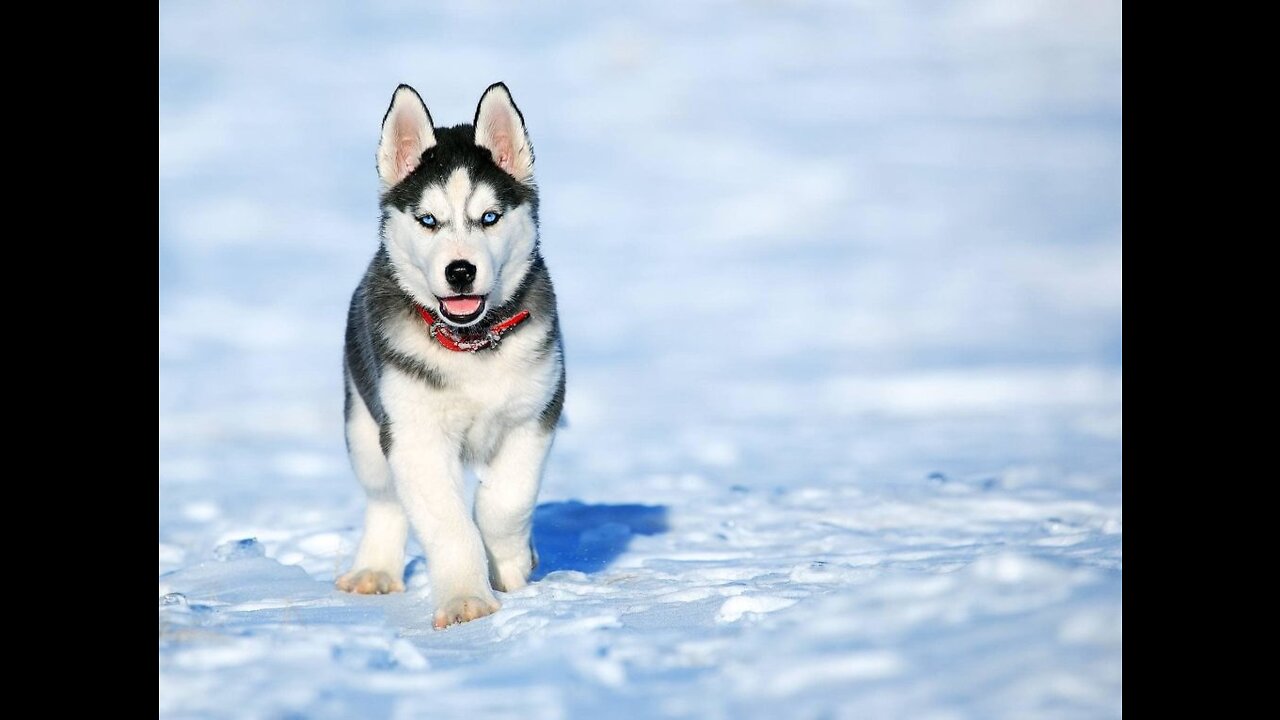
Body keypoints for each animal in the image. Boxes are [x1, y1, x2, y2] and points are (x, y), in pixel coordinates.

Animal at [337, 81, 563, 625]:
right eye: (428, 220)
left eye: (489, 218)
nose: (460, 271)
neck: (471, 344)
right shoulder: (414, 434)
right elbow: (447, 522)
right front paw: (466, 599)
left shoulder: (535, 413)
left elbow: (507, 501)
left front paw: (510, 564)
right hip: (363, 424)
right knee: (385, 499)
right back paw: (374, 569)